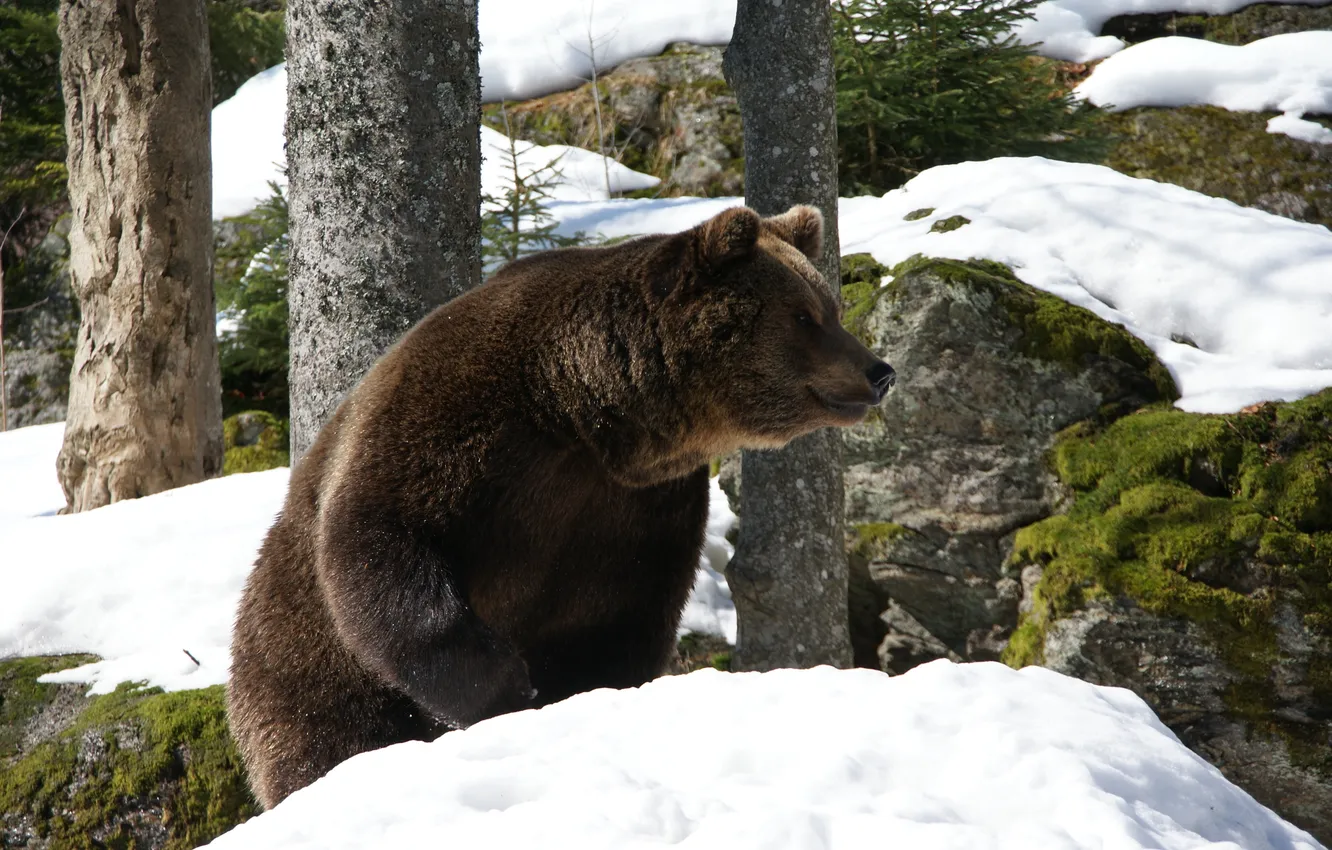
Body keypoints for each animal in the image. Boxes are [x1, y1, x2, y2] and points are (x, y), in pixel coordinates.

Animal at [226, 205, 895, 804]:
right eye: (805, 315)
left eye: (830, 308)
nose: (879, 370)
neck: (583, 410)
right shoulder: (455, 420)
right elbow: (380, 539)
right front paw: (504, 685)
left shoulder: (635, 508)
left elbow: (619, 618)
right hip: (297, 659)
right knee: (322, 735)